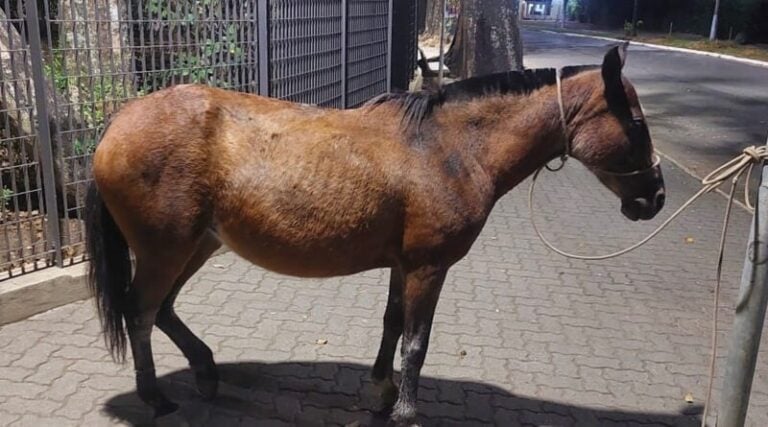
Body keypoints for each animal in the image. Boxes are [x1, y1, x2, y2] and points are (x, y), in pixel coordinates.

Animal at [84, 44, 665, 424]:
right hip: (165, 250)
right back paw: (155, 398)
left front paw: (381, 394)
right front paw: (406, 410)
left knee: (162, 309)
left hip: (197, 245)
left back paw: (205, 372)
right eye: (636, 124)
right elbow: (416, 341)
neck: (449, 150)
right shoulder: (430, 266)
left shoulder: (403, 264)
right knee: (140, 311)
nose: (655, 198)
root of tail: (117, 124)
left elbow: (391, 325)